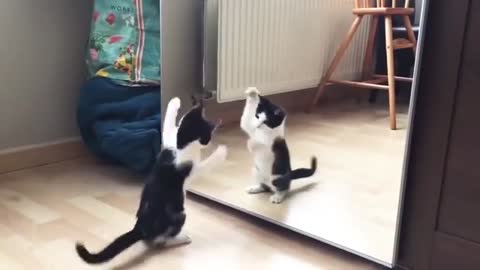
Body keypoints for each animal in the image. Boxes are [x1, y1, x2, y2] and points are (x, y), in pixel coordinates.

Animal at [76, 97, 227, 264]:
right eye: (207, 137)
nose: (209, 143)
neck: (181, 141)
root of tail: (141, 227)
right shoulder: (192, 168)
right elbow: (205, 166)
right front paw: (221, 151)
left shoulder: (168, 139)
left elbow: (167, 122)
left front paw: (175, 102)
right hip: (179, 214)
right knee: (161, 240)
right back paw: (181, 238)